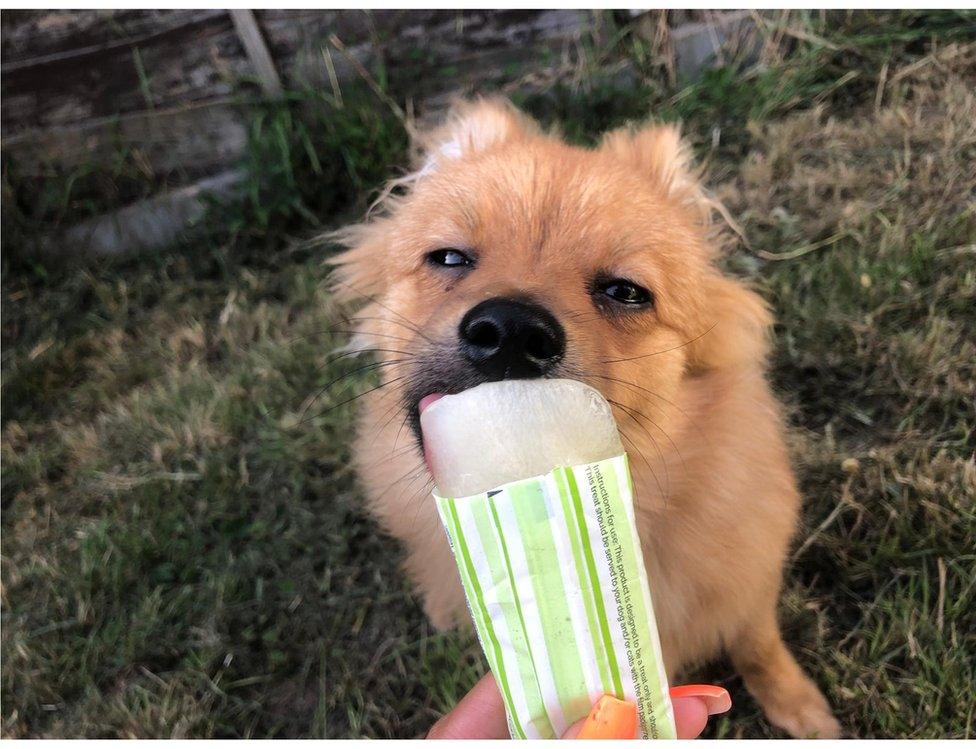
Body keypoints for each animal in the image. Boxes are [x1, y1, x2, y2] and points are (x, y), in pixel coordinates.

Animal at [328, 98, 840, 736]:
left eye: (626, 292)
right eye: (448, 258)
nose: (511, 330)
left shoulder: (746, 576)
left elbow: (759, 642)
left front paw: (801, 706)